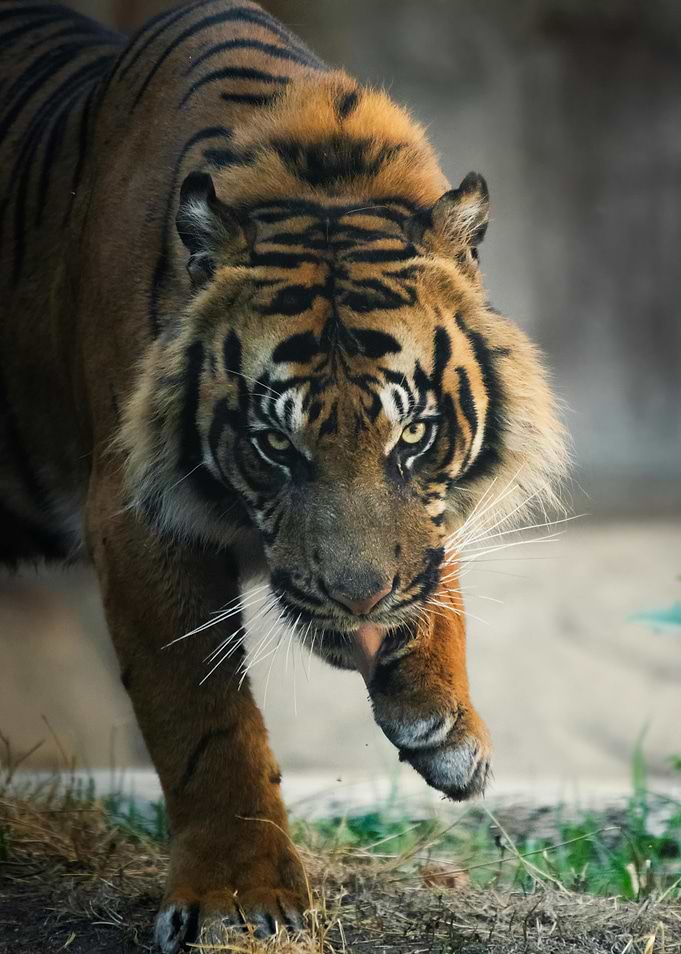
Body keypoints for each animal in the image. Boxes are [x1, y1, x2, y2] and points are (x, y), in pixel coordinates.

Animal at [0, 0, 568, 949]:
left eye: (413, 435)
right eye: (274, 445)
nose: (359, 606)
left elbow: (433, 557)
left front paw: (441, 717)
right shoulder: (136, 513)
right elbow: (205, 720)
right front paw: (238, 900)